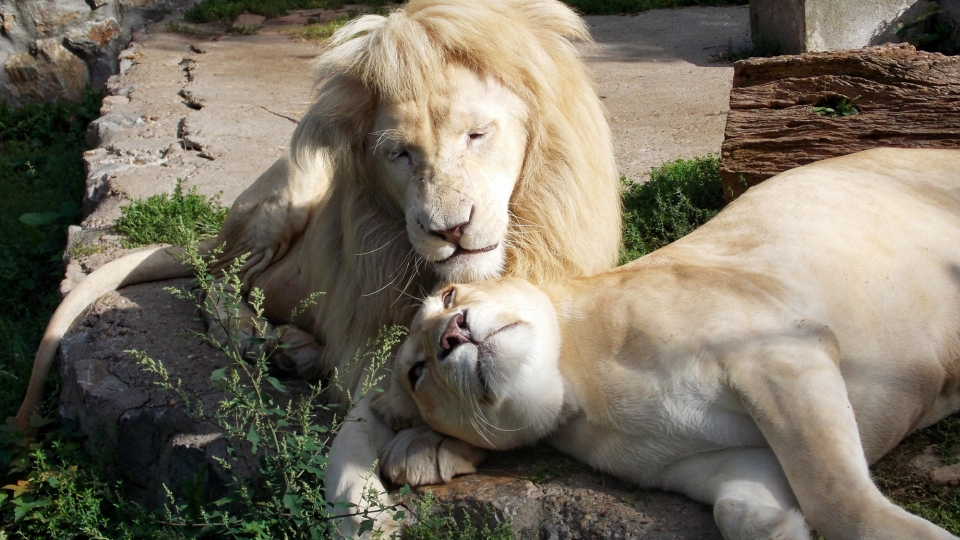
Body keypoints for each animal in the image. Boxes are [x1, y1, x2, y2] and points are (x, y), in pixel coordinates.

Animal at [11, 0, 620, 468]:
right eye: (400, 154)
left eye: (476, 134)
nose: (448, 229)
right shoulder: (365, 339)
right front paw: (433, 441)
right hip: (292, 187)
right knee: (219, 281)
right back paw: (256, 336)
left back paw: (294, 350)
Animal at [368, 149, 960, 540]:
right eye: (417, 372)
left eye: (449, 294)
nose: (453, 333)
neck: (582, 390)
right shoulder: (726, 460)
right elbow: (738, 507)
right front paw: (779, 526)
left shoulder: (778, 350)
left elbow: (834, 493)